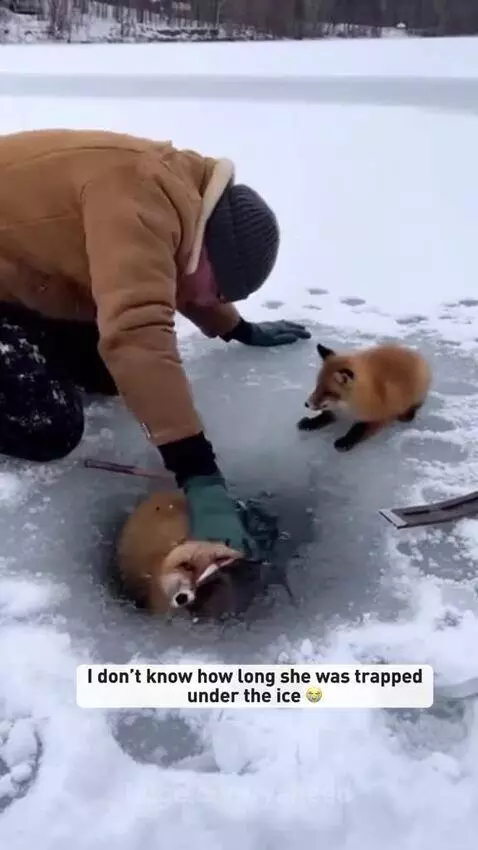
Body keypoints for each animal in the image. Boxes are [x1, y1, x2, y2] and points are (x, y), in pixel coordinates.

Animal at [297, 342, 432, 452]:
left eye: (327, 392)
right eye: (317, 386)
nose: (306, 404)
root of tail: (415, 354)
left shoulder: (379, 416)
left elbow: (358, 430)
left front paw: (345, 441)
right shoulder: (337, 410)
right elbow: (325, 415)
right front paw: (310, 422)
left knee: (416, 405)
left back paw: (408, 414)